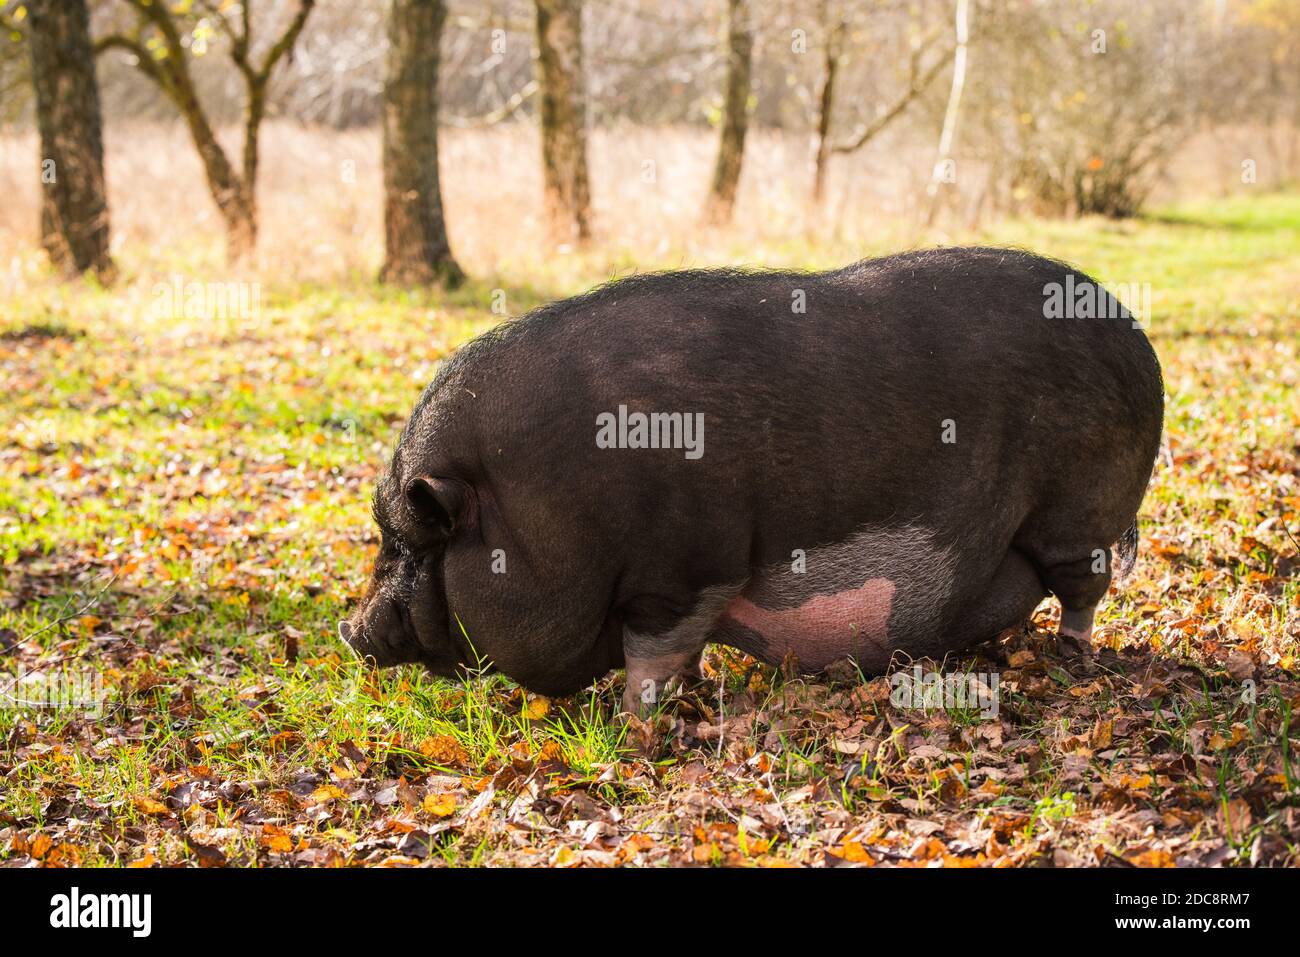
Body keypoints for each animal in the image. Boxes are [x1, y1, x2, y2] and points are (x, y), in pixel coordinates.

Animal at [340, 247, 1164, 712]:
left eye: (415, 540)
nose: (351, 630)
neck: (538, 509)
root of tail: (1130, 326)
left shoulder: (685, 570)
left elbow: (654, 654)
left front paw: (639, 727)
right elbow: (684, 652)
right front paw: (696, 692)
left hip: (1082, 514)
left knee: (1085, 589)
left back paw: (1072, 660)